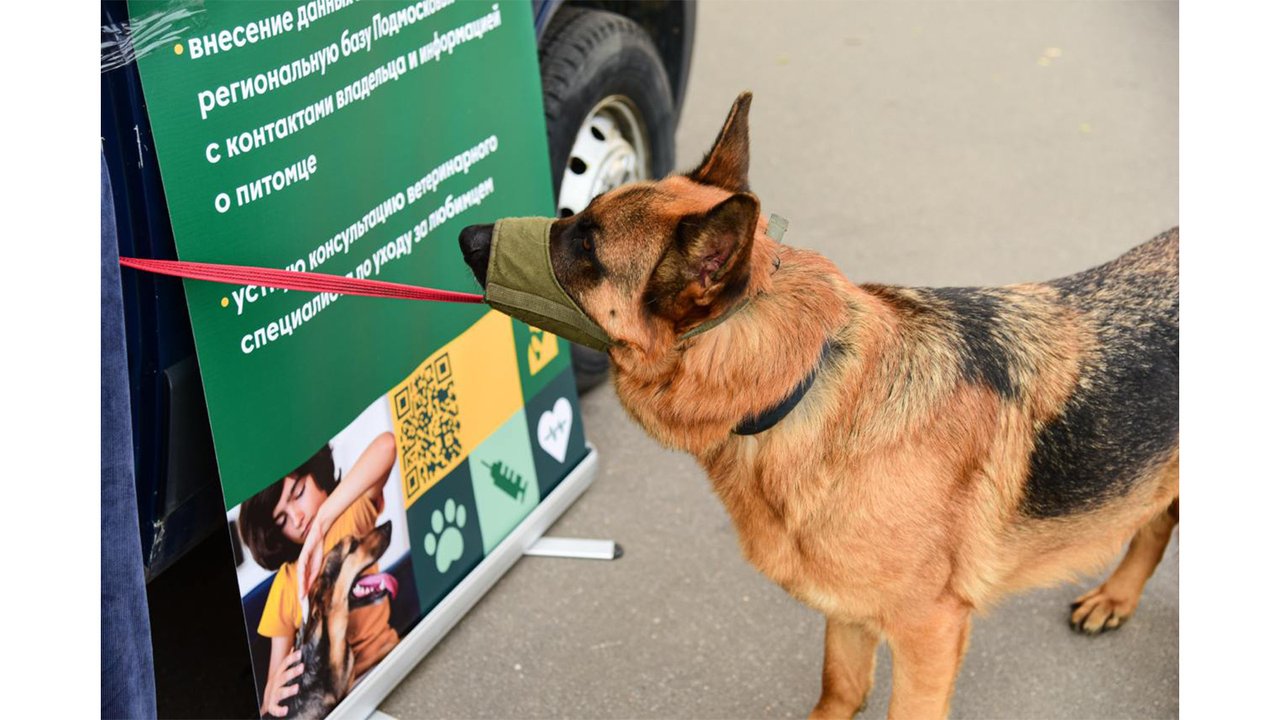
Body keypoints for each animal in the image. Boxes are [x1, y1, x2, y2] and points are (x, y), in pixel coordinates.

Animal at [460, 92, 1177, 712]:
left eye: (585, 246)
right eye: (575, 215)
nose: (465, 236)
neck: (802, 387)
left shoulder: (929, 633)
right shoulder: (848, 612)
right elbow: (839, 688)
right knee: (1158, 520)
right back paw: (1117, 597)